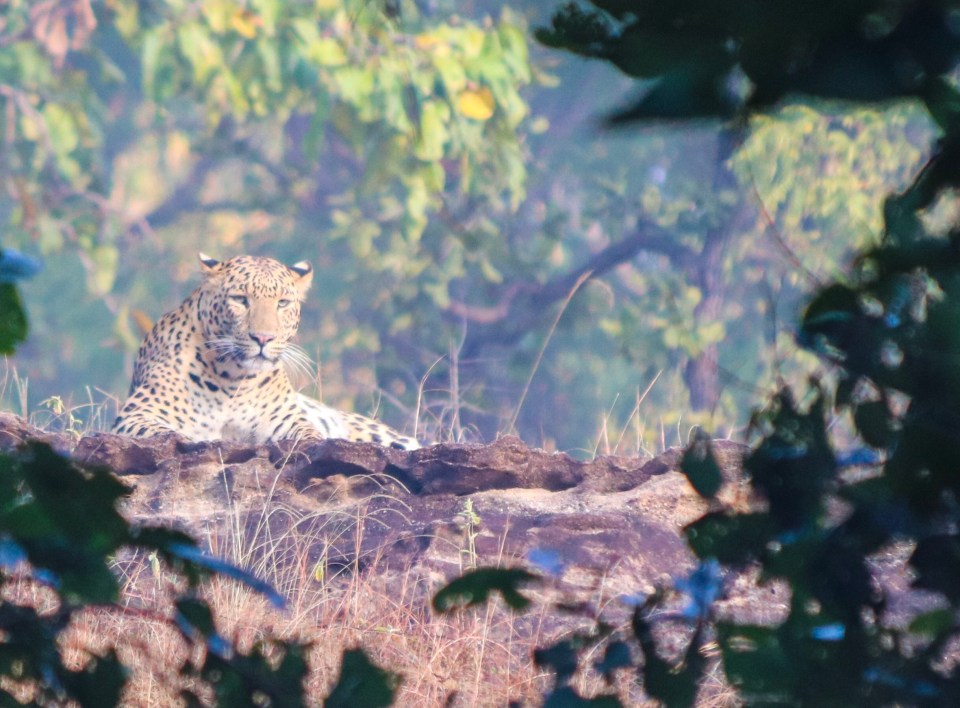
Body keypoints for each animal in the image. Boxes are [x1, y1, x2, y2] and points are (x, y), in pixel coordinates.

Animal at [111, 253, 420, 450]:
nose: (263, 338)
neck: (232, 379)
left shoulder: (285, 420)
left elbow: (309, 433)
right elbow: (166, 433)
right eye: (240, 299)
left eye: (282, 303)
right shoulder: (136, 414)